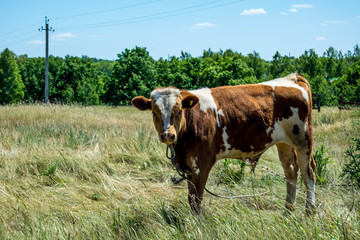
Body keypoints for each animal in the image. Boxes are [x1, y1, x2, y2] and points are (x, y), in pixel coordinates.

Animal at [132, 73, 316, 214]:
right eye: (154, 113)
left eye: (178, 111)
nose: (168, 135)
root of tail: (293, 77)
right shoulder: (189, 167)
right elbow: (191, 198)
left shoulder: (202, 164)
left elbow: (196, 201)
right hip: (285, 143)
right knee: (291, 172)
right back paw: (288, 211)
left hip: (304, 141)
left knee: (308, 173)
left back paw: (310, 212)